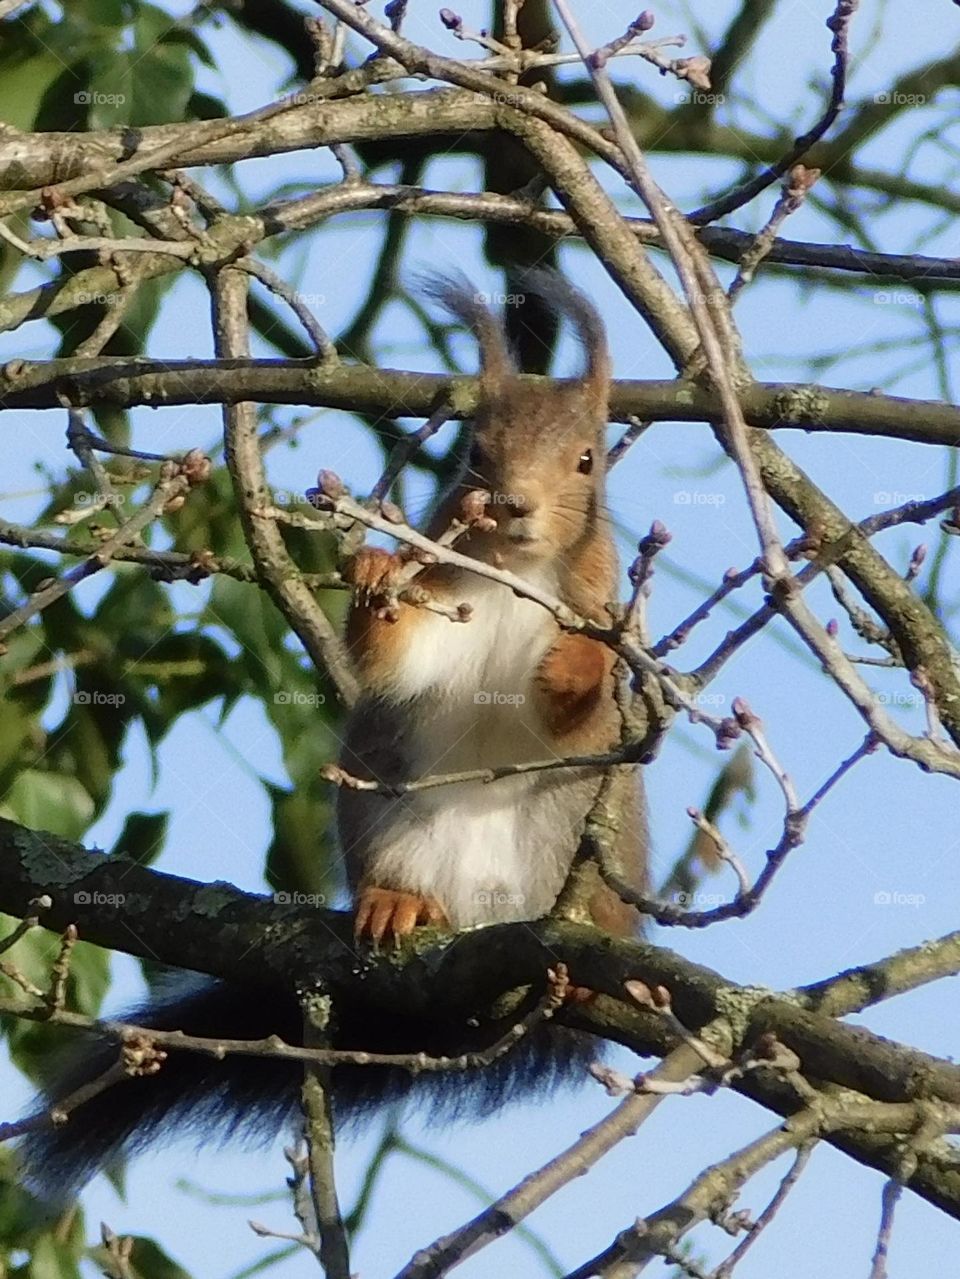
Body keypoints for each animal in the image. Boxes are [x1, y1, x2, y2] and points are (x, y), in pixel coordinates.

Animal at [17, 271, 647, 1200]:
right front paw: (377, 575)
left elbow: (583, 709)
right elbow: (397, 663)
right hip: (387, 818)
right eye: (476, 452)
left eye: (587, 460)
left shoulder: (599, 610)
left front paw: (574, 665)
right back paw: (397, 902)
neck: (514, 572)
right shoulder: (444, 600)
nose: (511, 504)